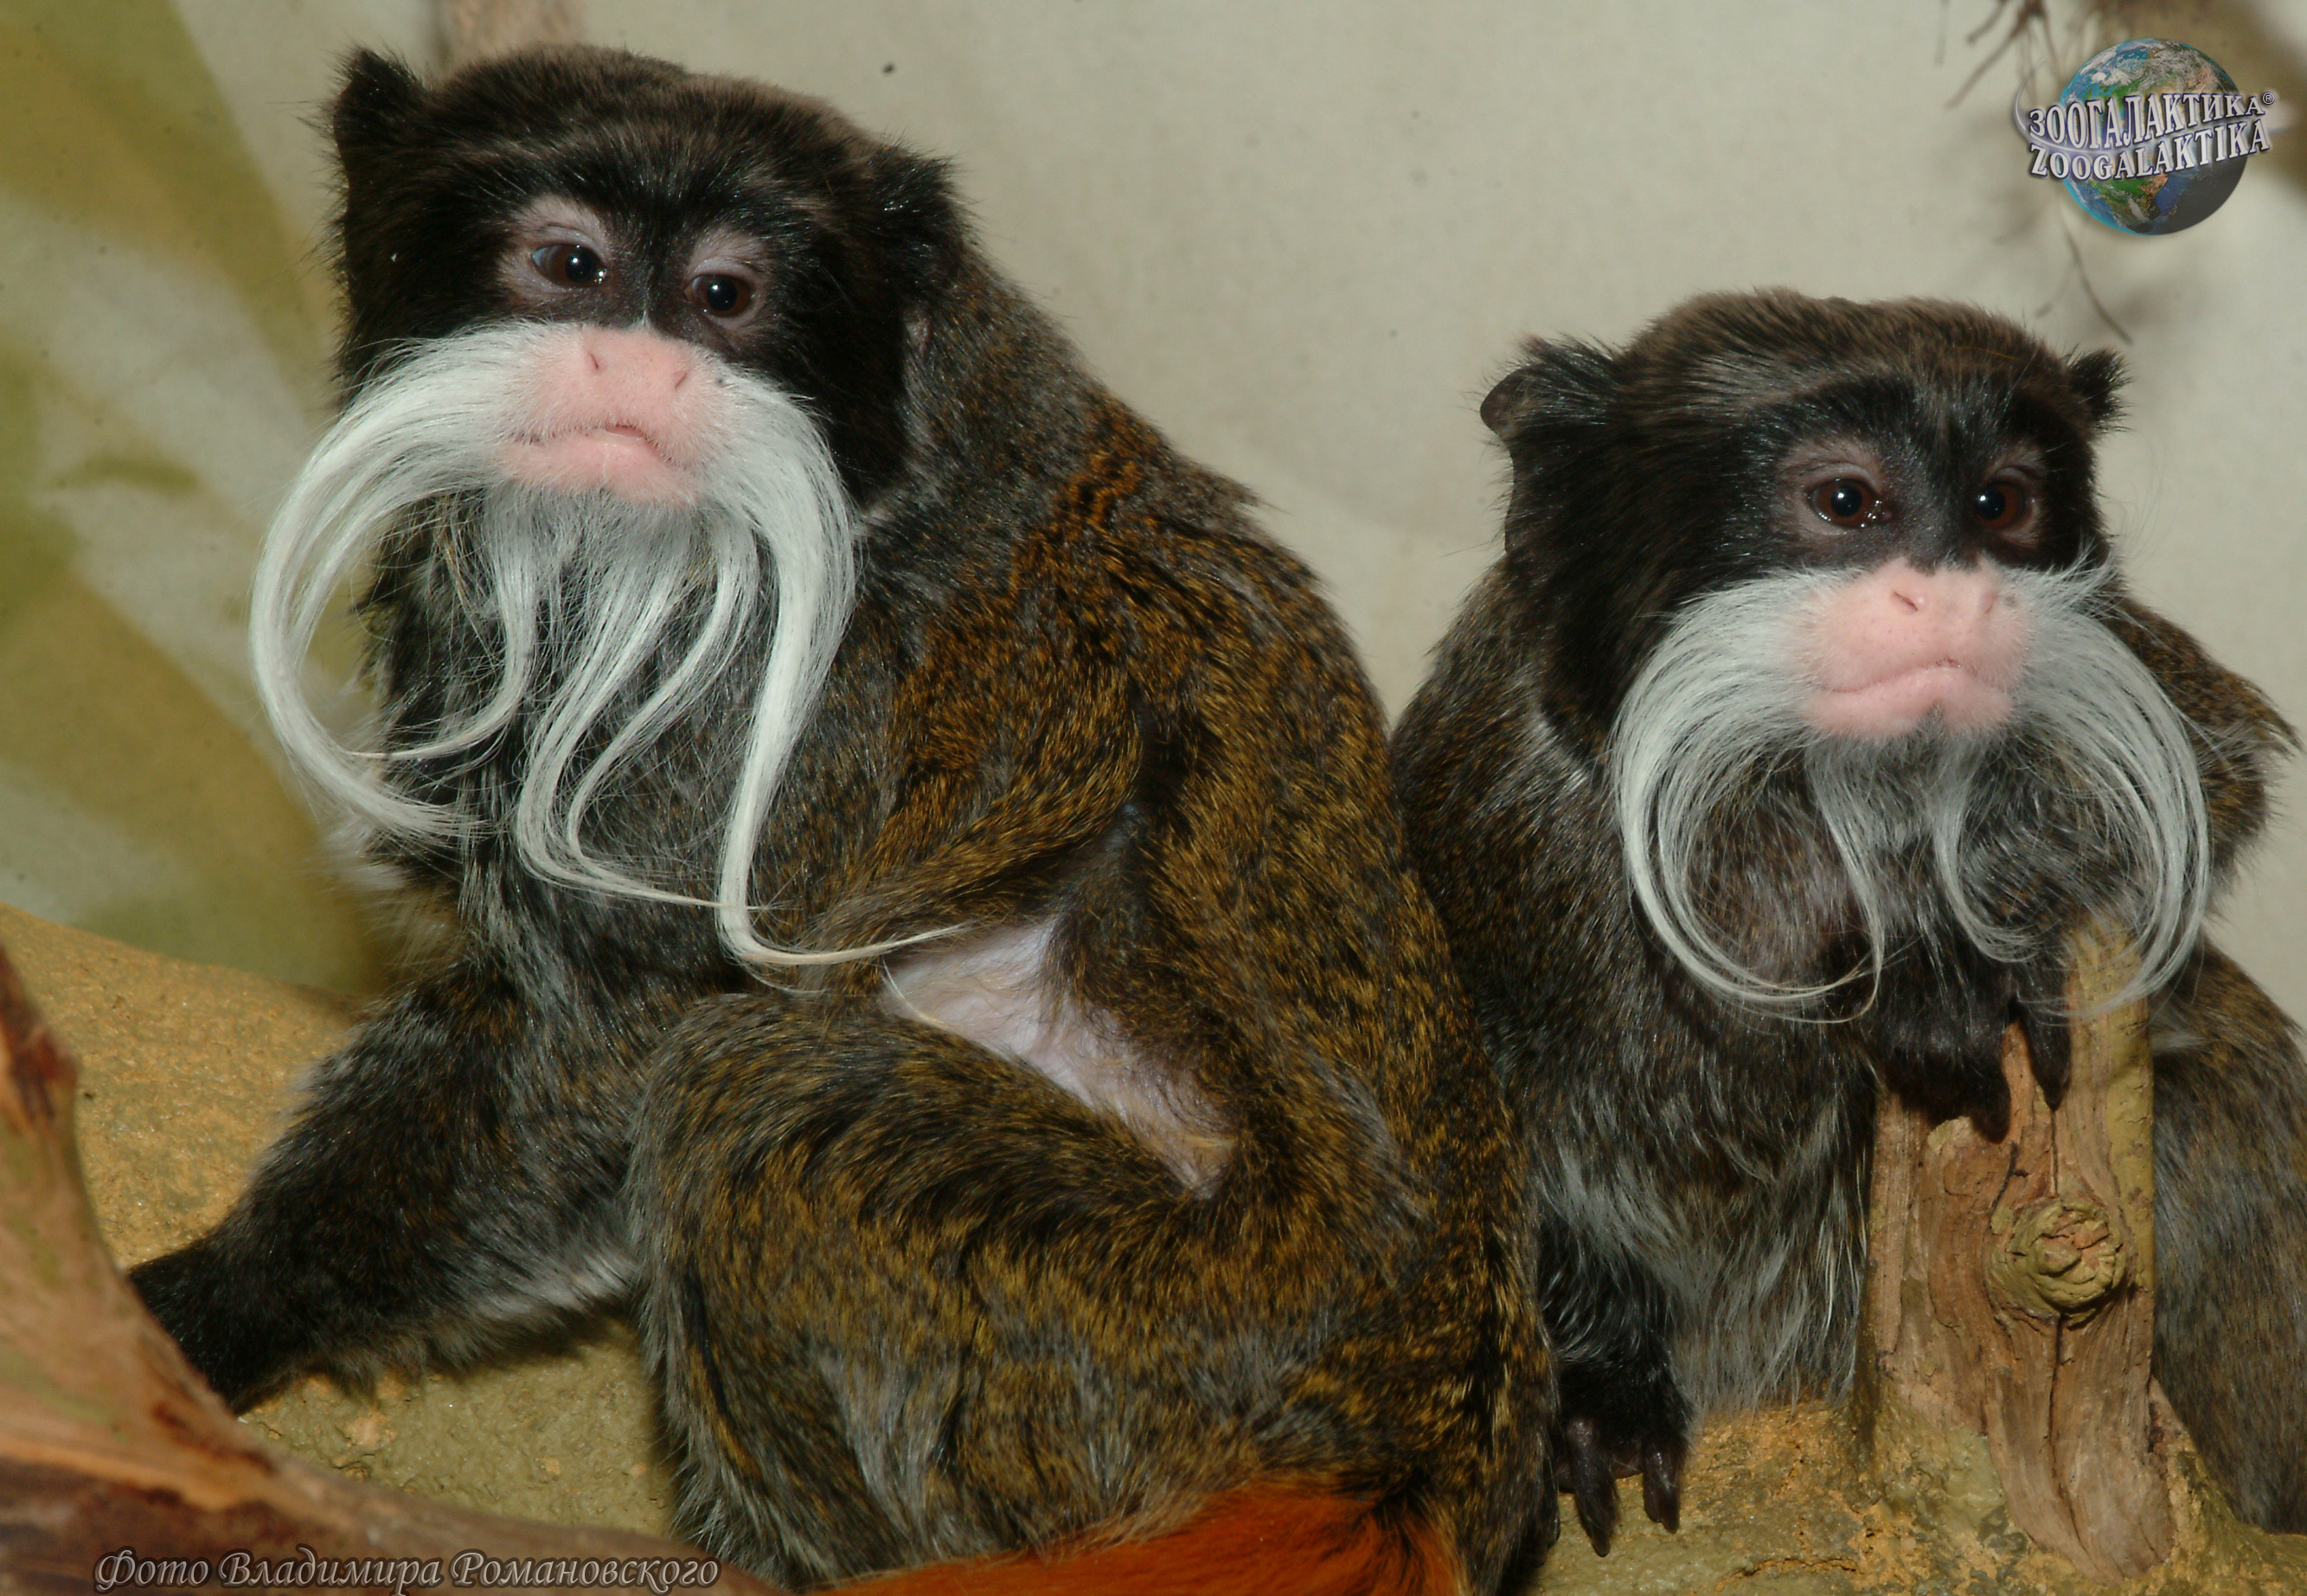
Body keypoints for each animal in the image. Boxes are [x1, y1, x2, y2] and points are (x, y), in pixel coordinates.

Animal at [122, 46, 1555, 1594]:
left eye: (723, 295)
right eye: (567, 265)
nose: (639, 363)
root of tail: (1410, 1454)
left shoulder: (737, 727)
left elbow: (610, 1042)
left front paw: (216, 1306)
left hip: (1158, 1351)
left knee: (748, 1088)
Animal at [1390, 289, 2307, 1555]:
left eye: (1999, 504)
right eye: (1843, 503)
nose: (1959, 594)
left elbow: (2212, 782)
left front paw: (1943, 960)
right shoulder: (1485, 795)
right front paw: (1599, 1389)